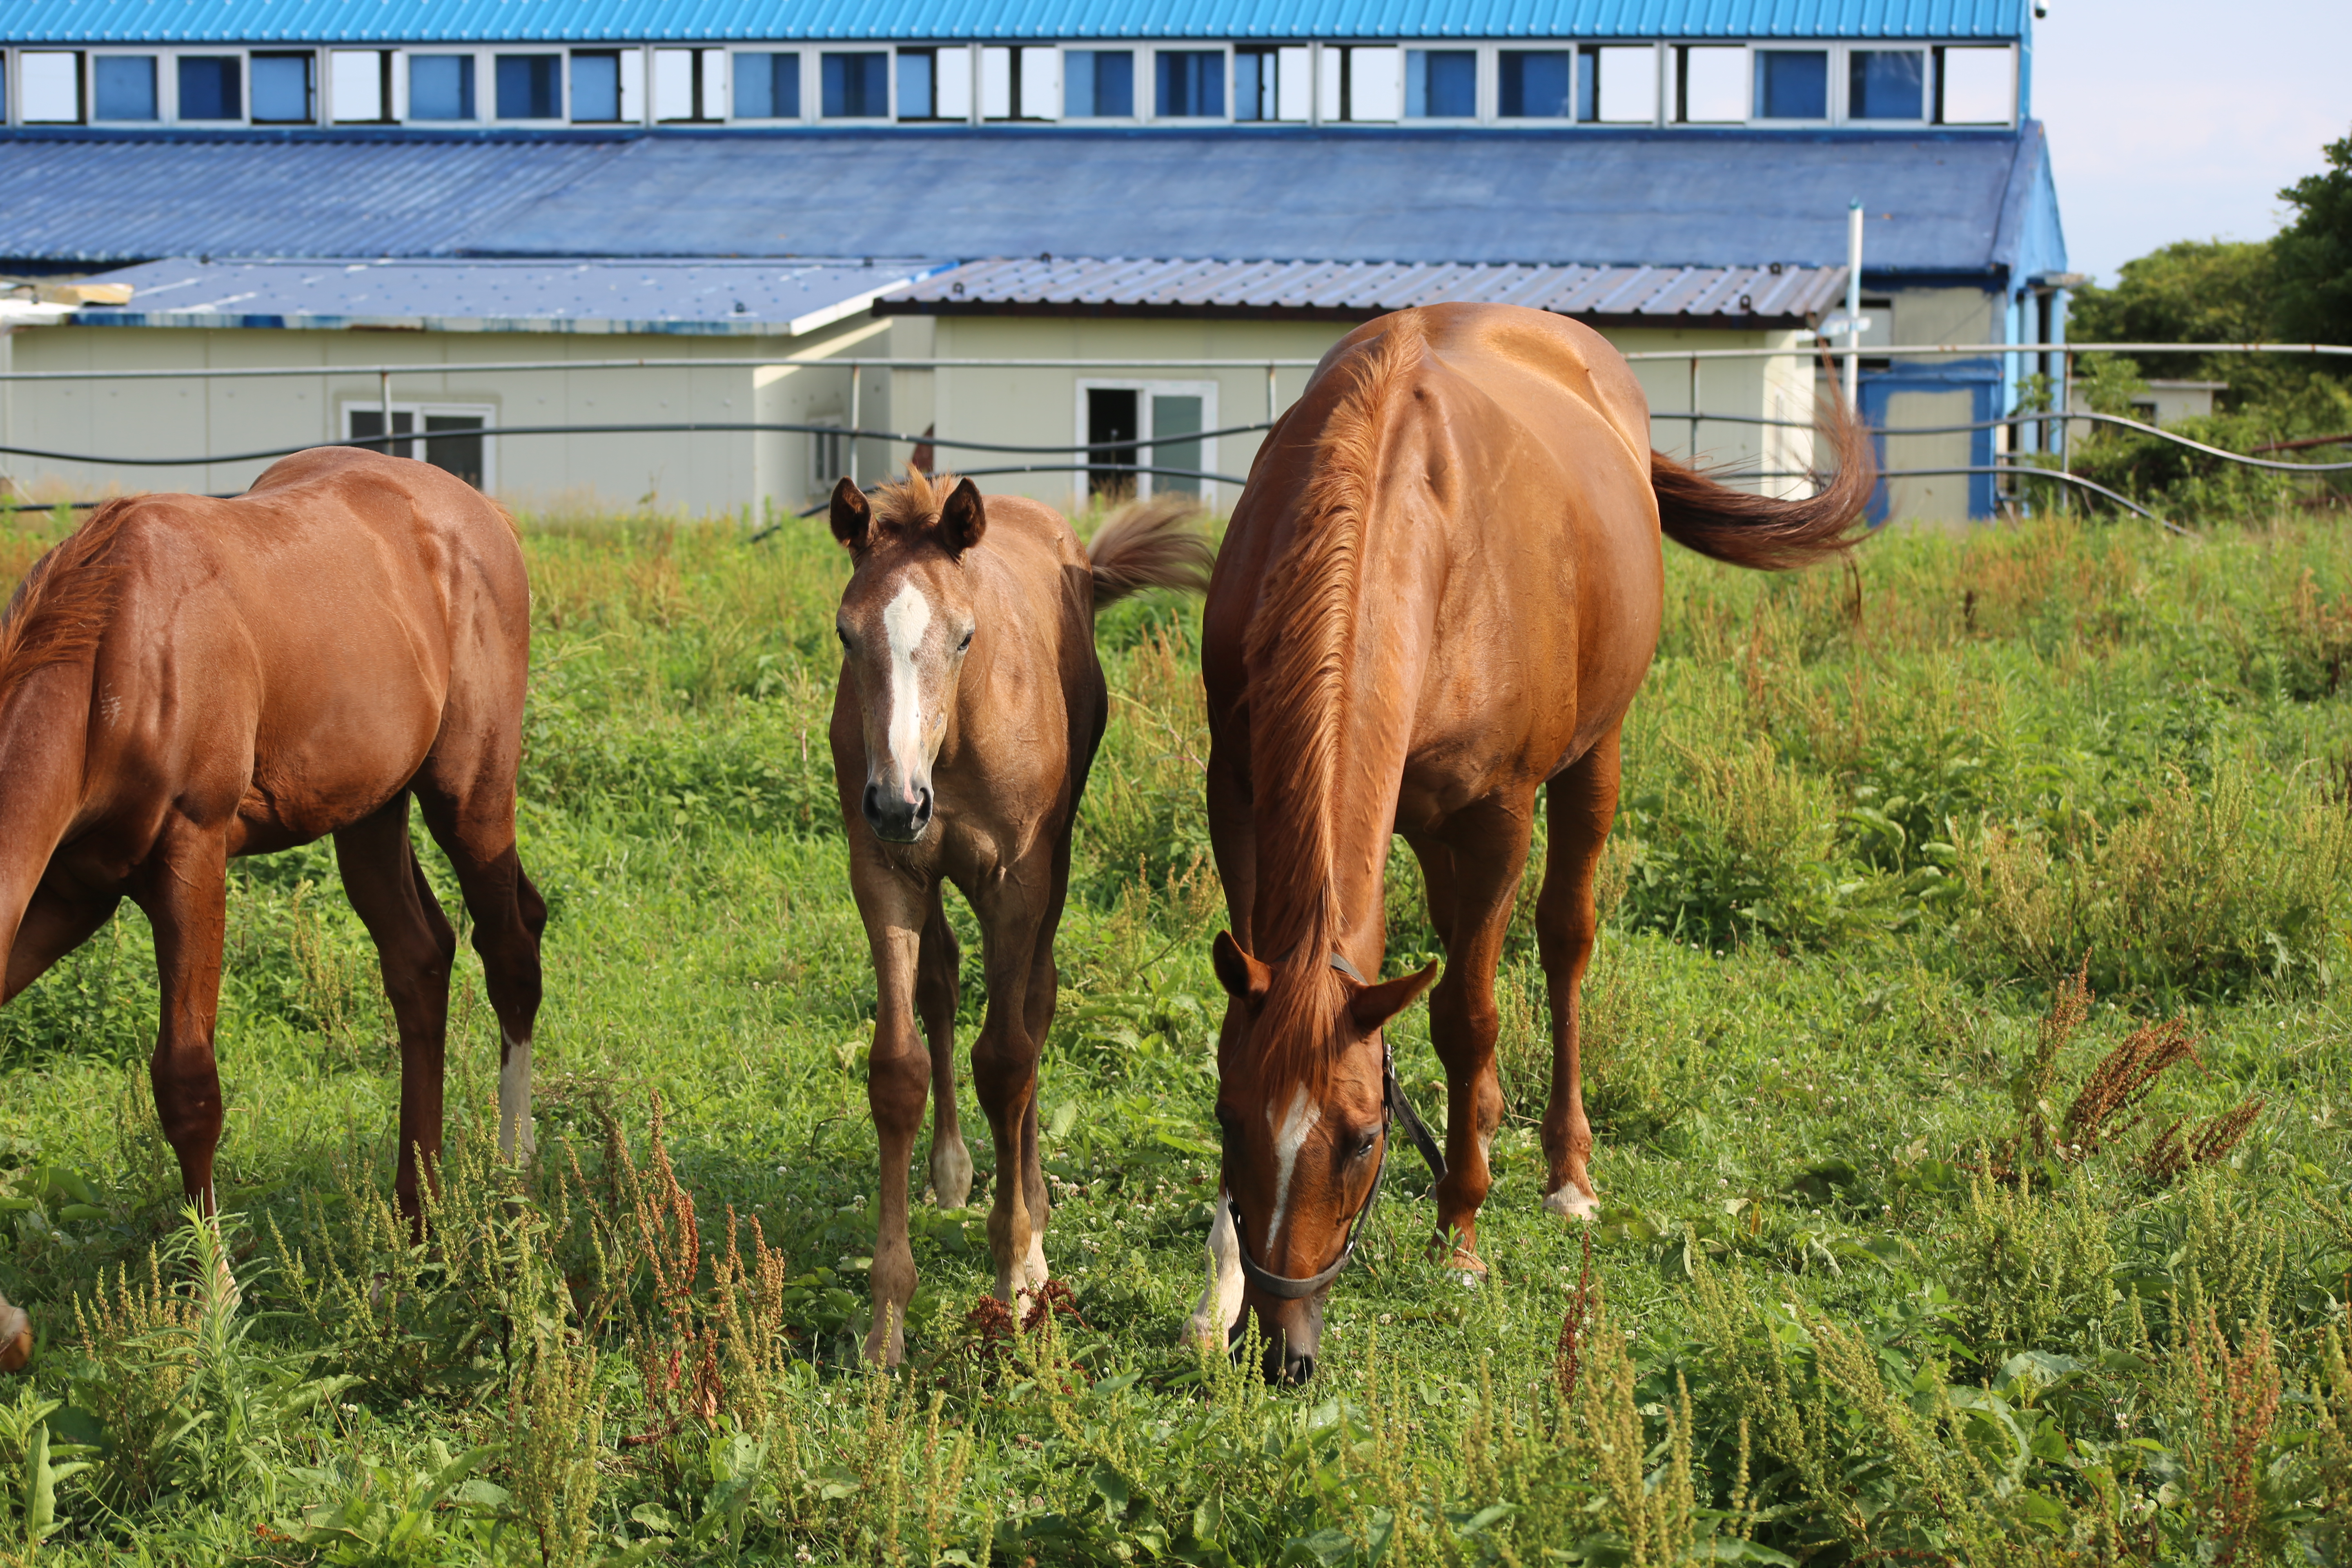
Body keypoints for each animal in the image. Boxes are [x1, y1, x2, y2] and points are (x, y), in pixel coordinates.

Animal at [0, 444, 546, 1260]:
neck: (118, 655)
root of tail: (483, 515)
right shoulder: (72, 891)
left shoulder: (189, 859)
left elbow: (187, 1083)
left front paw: (214, 1286)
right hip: (370, 809)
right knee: (420, 958)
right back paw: (417, 1218)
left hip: (470, 790)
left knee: (509, 948)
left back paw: (513, 1184)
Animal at [833, 470, 1214, 1363]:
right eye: (846, 636)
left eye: (965, 637)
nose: (897, 802)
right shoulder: (885, 873)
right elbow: (896, 1069)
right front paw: (887, 1318)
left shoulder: (1017, 880)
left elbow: (1008, 1060)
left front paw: (1015, 1277)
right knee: (942, 983)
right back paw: (952, 1172)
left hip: (1052, 862)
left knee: (1035, 1008)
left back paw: (1034, 1220)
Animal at [1204, 301, 1862, 1382]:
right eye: (1230, 1120)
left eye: (1360, 1139)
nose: (1286, 1351)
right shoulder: (1239, 792)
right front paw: (1218, 1270)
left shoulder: (1499, 814)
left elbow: (1468, 1016)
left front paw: (1460, 1230)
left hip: (1592, 760)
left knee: (1560, 943)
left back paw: (1564, 1170)